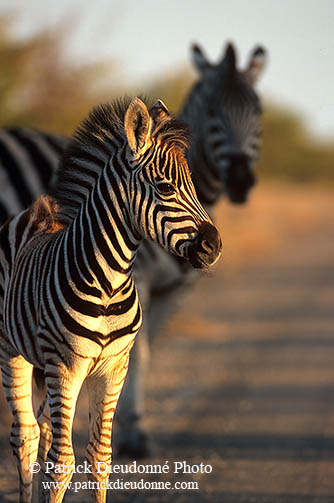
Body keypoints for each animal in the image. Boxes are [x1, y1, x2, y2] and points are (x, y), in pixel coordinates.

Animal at [0, 42, 268, 456]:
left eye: (257, 111)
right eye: (212, 113)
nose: (240, 180)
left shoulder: (173, 291)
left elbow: (145, 351)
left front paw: (129, 422)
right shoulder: (140, 278)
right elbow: (141, 355)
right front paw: (134, 434)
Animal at [0, 97, 222, 503]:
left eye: (192, 186)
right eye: (165, 187)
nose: (214, 247)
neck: (109, 284)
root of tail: (34, 211)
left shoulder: (114, 366)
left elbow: (99, 456)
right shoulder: (67, 366)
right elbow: (62, 463)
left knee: (43, 428)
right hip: (12, 350)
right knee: (25, 435)